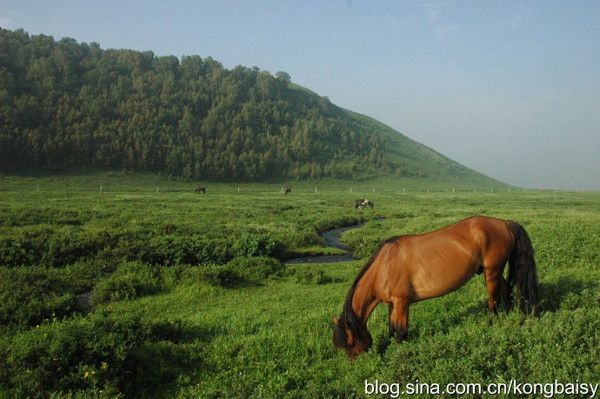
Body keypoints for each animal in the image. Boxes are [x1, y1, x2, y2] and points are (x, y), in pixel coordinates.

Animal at [332, 217, 540, 360]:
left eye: (350, 342)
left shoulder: (402, 302)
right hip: (494, 272)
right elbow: (392, 329)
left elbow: (401, 331)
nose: (357, 363)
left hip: (491, 272)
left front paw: (400, 351)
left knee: (493, 301)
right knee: (506, 292)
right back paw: (508, 316)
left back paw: (489, 324)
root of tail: (504, 223)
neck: (384, 266)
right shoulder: (392, 304)